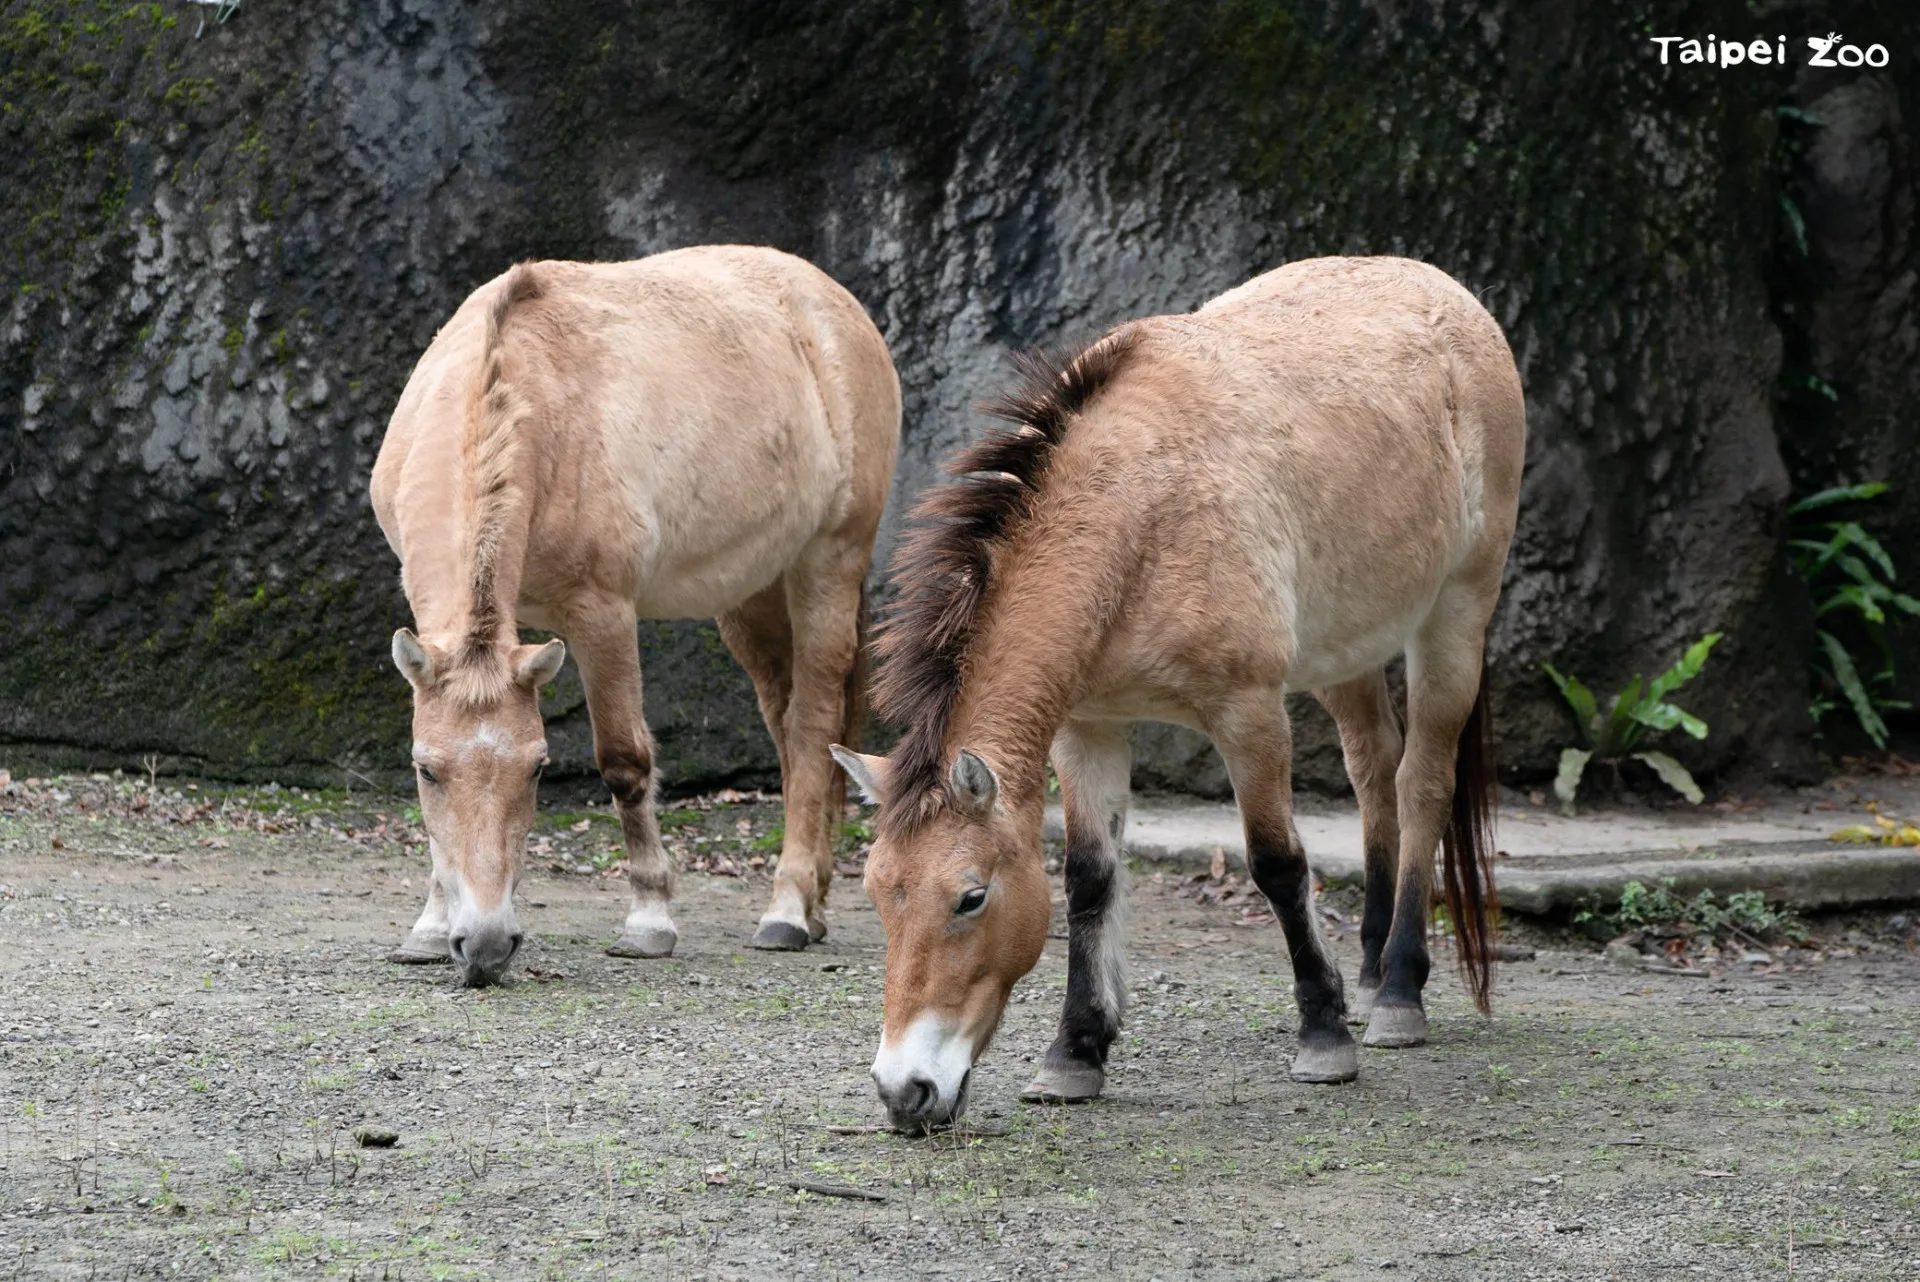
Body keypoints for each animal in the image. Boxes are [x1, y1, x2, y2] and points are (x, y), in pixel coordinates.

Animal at [370, 245, 900, 986]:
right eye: (426, 770)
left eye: (538, 768)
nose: (485, 947)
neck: (530, 402)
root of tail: (832, 303)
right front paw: (428, 926)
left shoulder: (603, 616)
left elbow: (623, 760)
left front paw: (650, 921)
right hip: (750, 595)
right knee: (788, 722)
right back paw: (815, 904)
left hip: (827, 565)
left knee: (813, 722)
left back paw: (789, 910)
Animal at [830, 256, 1524, 1130]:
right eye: (877, 895)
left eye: (971, 898)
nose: (905, 1092)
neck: (1137, 515)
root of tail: (1448, 293)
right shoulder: (1087, 727)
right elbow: (1090, 878)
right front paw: (1076, 1053)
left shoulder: (1249, 712)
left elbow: (1277, 864)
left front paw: (1324, 1037)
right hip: (1347, 652)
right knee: (1375, 771)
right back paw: (1370, 974)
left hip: (1456, 614)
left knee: (1421, 780)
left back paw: (1398, 993)